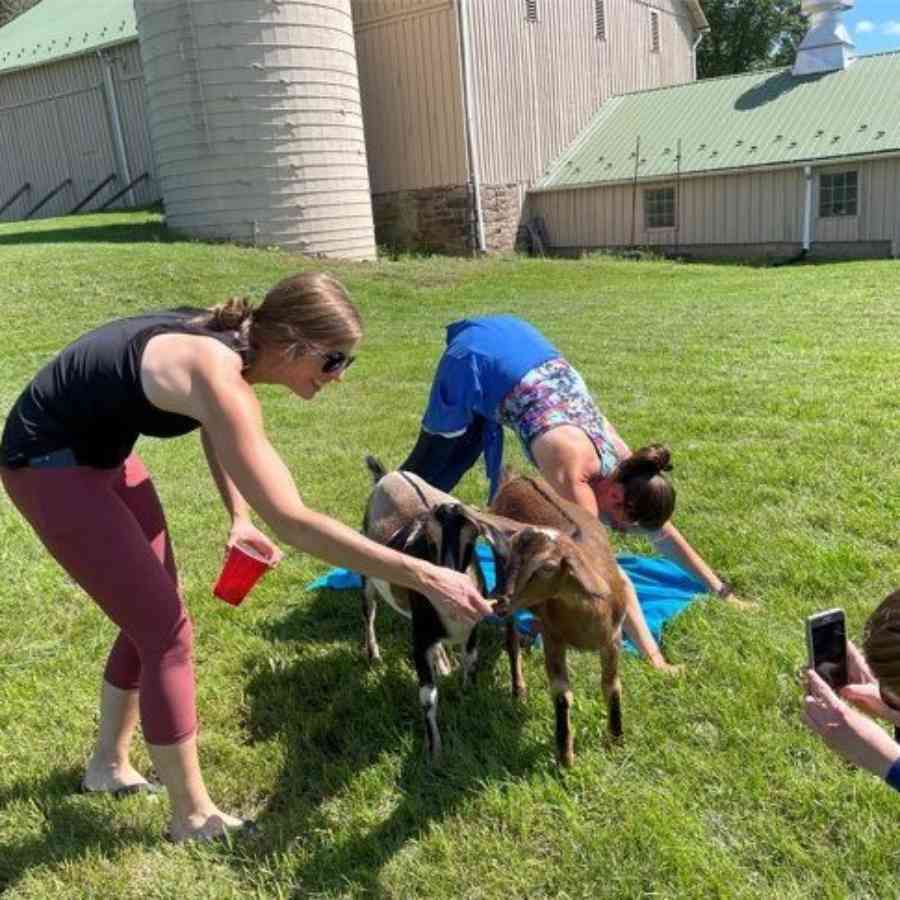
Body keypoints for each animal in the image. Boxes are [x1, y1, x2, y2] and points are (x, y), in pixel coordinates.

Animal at [492, 472, 624, 768]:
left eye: (548, 568)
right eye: (511, 556)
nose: (499, 601)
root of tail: (517, 477)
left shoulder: (612, 639)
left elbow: (611, 686)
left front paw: (616, 741)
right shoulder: (554, 638)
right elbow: (562, 695)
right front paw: (565, 758)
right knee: (511, 640)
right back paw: (519, 689)